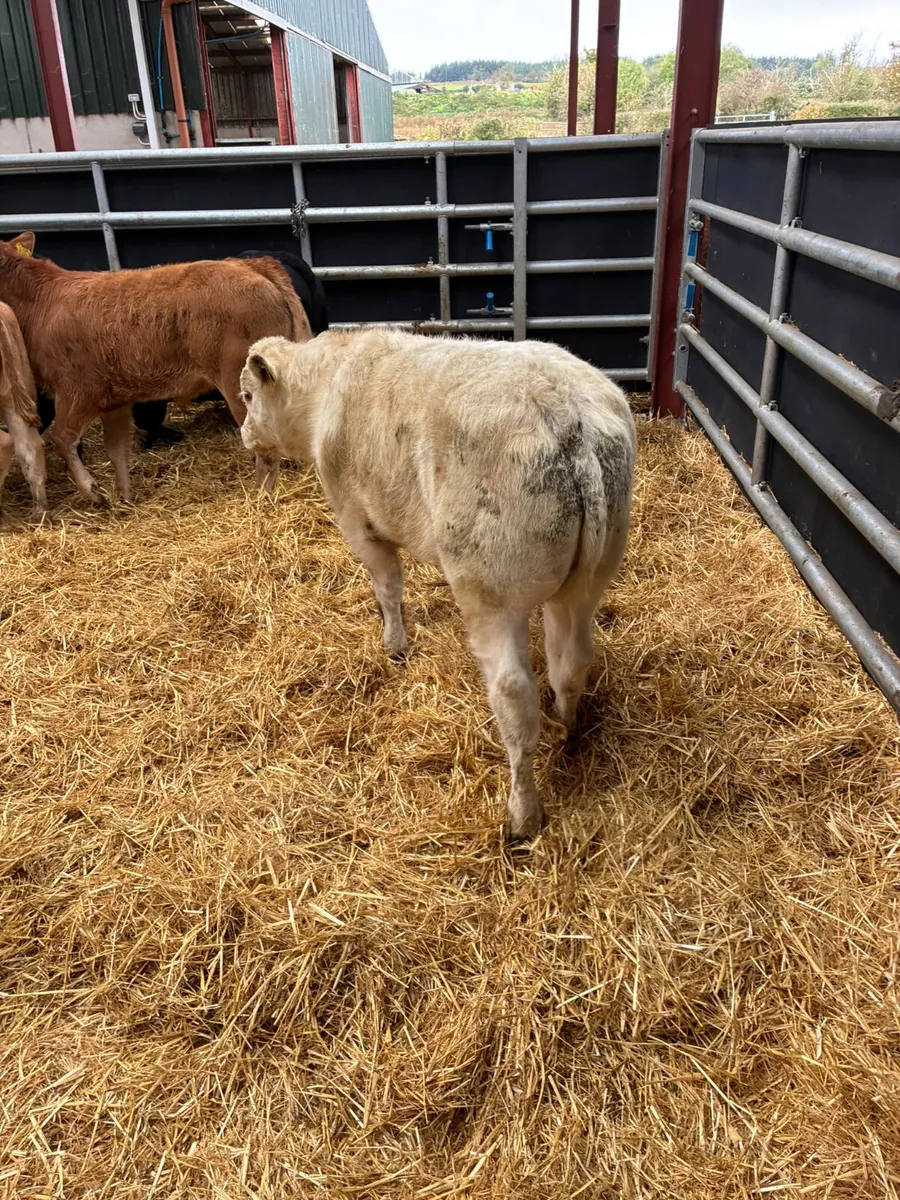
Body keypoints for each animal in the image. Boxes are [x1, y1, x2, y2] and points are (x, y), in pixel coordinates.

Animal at [0, 232, 311, 504]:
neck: (44, 301)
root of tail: (254, 264)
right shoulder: (115, 401)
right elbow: (117, 449)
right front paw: (124, 499)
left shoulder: (76, 392)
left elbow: (63, 440)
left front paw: (93, 491)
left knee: (266, 452)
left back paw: (259, 499)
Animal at [238, 329, 637, 838]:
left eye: (248, 396)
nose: (244, 434)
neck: (325, 387)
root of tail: (566, 413)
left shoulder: (359, 522)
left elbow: (387, 587)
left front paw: (395, 645)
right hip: (587, 580)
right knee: (571, 663)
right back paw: (565, 729)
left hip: (489, 590)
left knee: (513, 697)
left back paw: (523, 814)